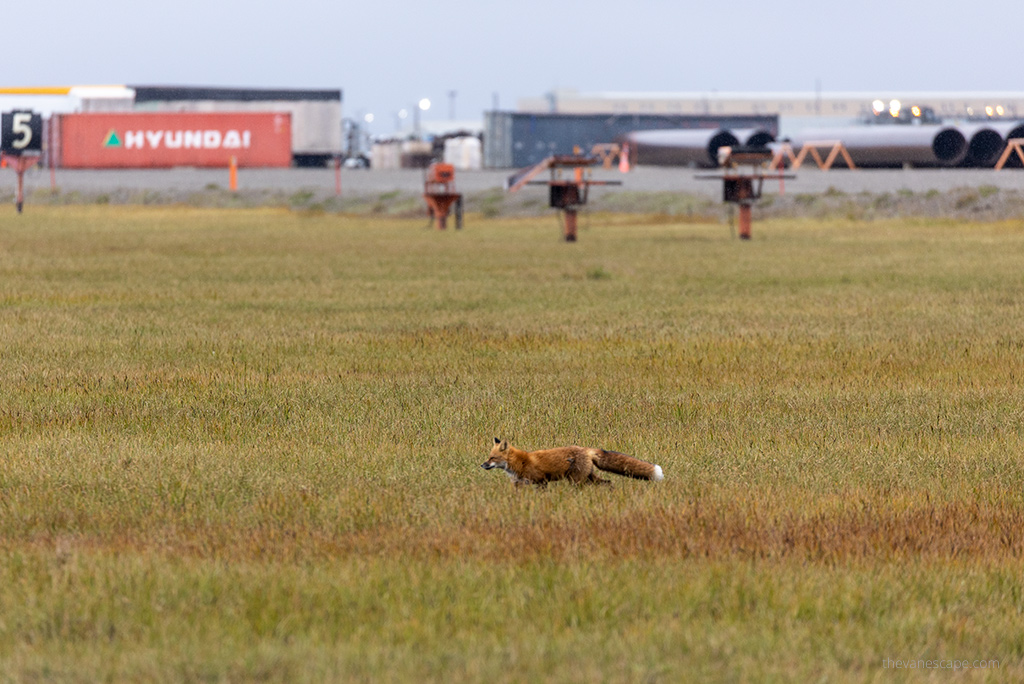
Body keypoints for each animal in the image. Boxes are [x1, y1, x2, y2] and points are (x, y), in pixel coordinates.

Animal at [481, 437, 664, 488]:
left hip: (576, 480)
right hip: (589, 478)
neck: (520, 462)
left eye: (492, 458)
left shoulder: (541, 481)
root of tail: (586, 449)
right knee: (608, 482)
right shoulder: (519, 484)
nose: (482, 465)